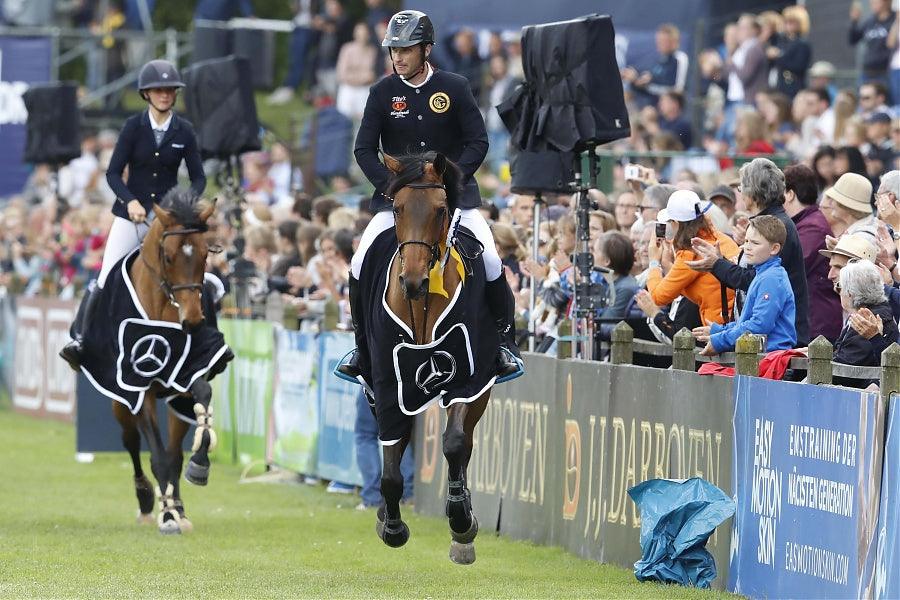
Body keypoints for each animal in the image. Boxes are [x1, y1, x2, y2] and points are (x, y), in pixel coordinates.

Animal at [360, 152, 500, 564]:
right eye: (397, 207)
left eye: (440, 209)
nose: (414, 282)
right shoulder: (387, 383)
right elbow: (391, 463)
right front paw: (391, 525)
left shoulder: (468, 377)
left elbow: (454, 444)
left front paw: (461, 521)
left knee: (463, 445)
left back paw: (462, 526)